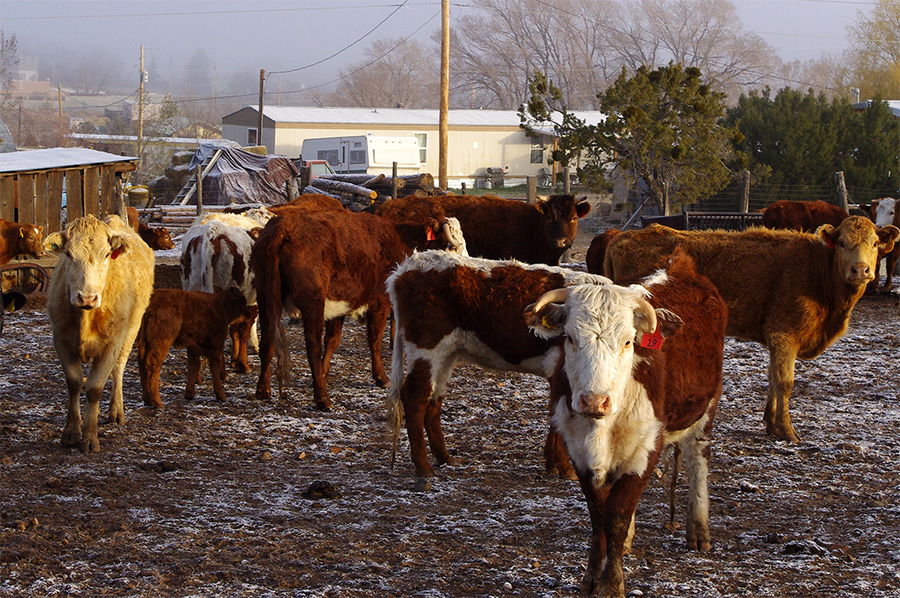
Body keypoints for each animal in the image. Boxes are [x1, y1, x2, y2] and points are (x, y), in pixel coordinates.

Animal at [45, 213, 155, 452]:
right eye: (68, 254)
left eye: (106, 254)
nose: (87, 297)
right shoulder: (61, 340)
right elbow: (74, 382)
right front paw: (71, 431)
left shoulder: (111, 344)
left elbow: (94, 388)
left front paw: (89, 437)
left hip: (131, 330)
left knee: (118, 369)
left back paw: (116, 411)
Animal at [251, 209, 468, 410]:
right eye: (452, 246)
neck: (402, 241)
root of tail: (283, 226)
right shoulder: (380, 303)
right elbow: (375, 341)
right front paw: (381, 377)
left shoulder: (338, 307)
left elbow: (333, 341)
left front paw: (324, 372)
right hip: (312, 302)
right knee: (312, 347)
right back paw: (322, 397)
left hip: (266, 297)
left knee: (267, 340)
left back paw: (263, 389)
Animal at [386, 251, 612, 480]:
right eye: (573, 334)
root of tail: (406, 268)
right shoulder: (561, 370)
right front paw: (565, 468)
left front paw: (553, 464)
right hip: (426, 348)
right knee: (415, 397)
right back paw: (423, 467)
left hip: (446, 354)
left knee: (434, 399)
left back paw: (445, 458)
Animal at [592, 218, 900, 442]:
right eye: (843, 243)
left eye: (874, 243)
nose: (860, 270)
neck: (817, 270)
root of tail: (622, 235)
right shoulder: (784, 334)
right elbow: (785, 382)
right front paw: (787, 431)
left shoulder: (778, 339)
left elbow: (773, 378)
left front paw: (771, 423)